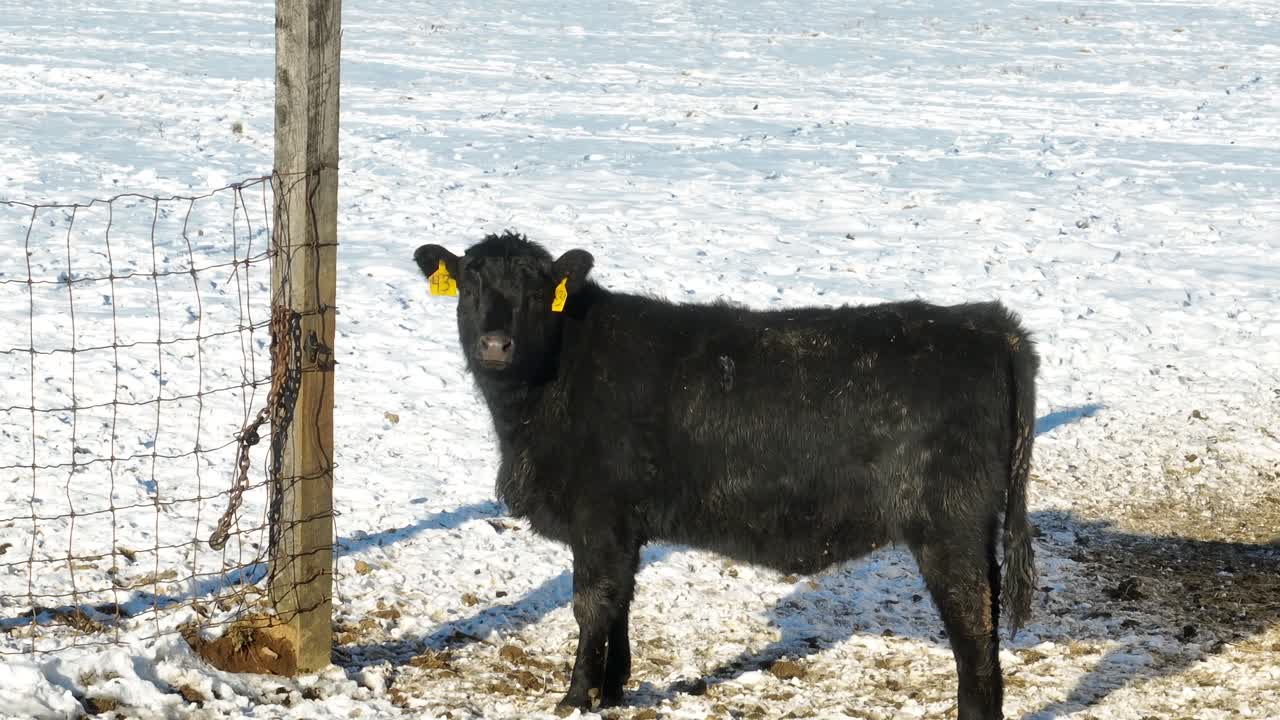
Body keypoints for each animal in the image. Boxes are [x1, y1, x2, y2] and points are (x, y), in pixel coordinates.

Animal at [413, 231, 1039, 720]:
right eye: (470, 285)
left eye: (539, 291)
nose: (497, 344)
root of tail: (989, 325)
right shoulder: (624, 527)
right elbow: (620, 602)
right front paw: (612, 692)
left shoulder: (598, 517)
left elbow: (591, 604)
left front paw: (574, 698)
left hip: (949, 528)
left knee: (974, 633)